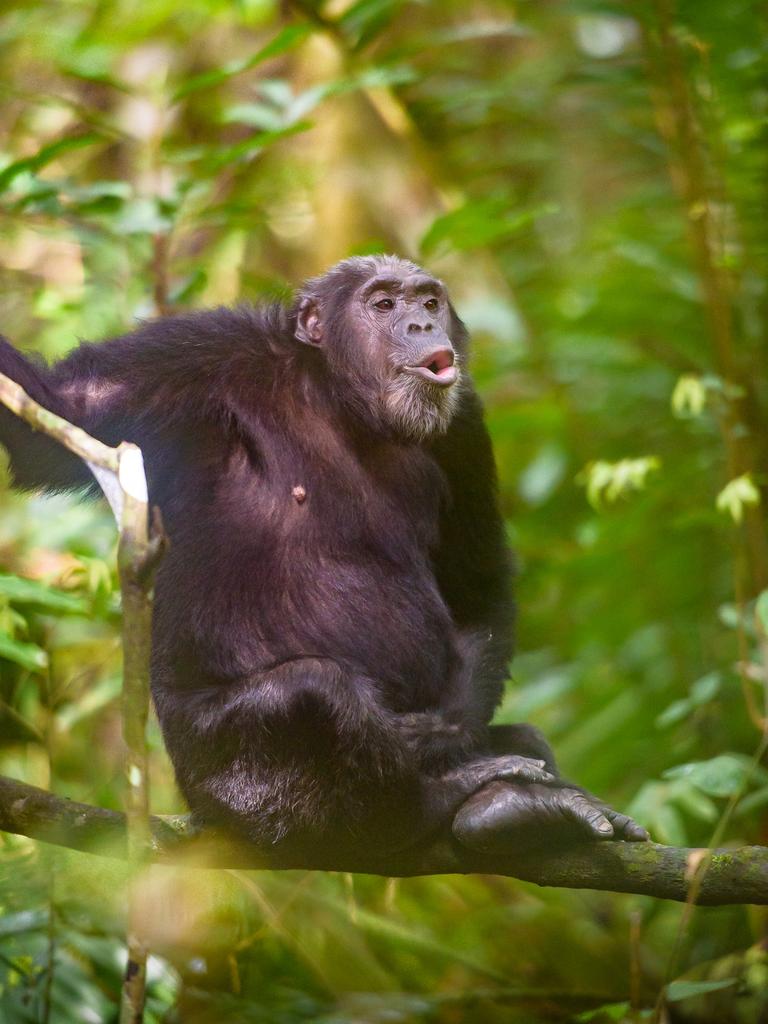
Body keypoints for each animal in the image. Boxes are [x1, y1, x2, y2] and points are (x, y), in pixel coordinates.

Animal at [0, 253, 651, 856]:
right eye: (383, 304)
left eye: (430, 300)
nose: (420, 323)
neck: (340, 399)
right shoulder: (193, 357)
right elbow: (57, 408)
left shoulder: (466, 424)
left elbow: (474, 581)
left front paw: (438, 734)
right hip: (238, 788)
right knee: (315, 692)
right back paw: (459, 800)